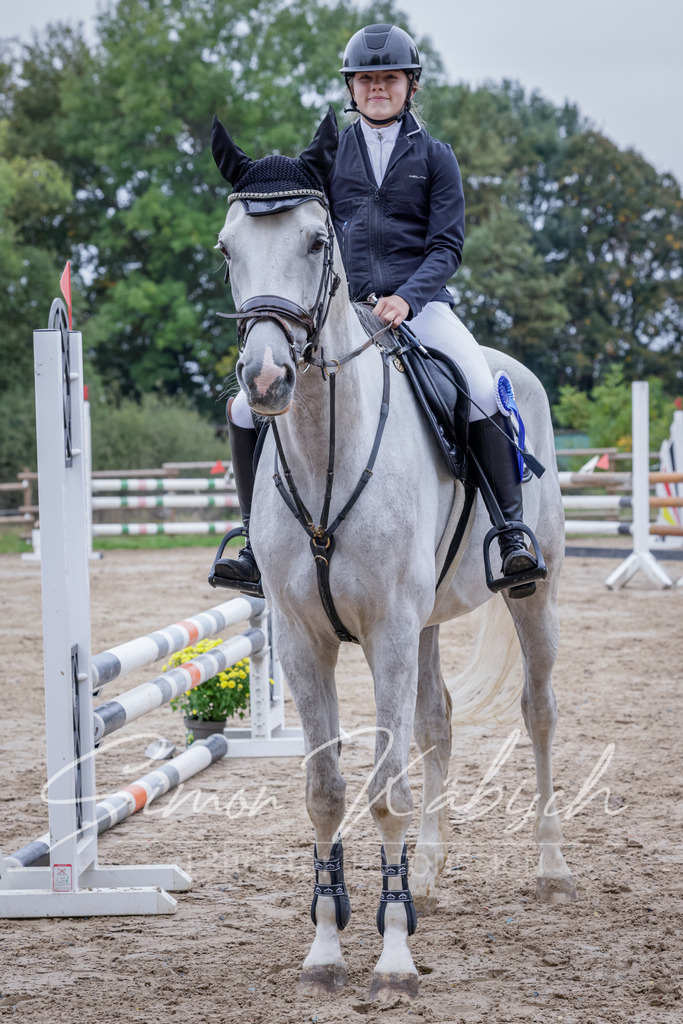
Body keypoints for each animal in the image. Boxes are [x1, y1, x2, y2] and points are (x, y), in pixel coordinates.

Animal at [211, 108, 576, 1000]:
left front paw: (394, 957)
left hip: (531, 598)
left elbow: (385, 793)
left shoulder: (384, 635)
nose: (265, 380)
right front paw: (326, 945)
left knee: (538, 712)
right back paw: (432, 876)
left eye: (316, 241)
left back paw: (549, 870)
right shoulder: (303, 640)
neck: (324, 450)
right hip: (427, 620)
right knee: (437, 722)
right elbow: (325, 790)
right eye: (228, 248)